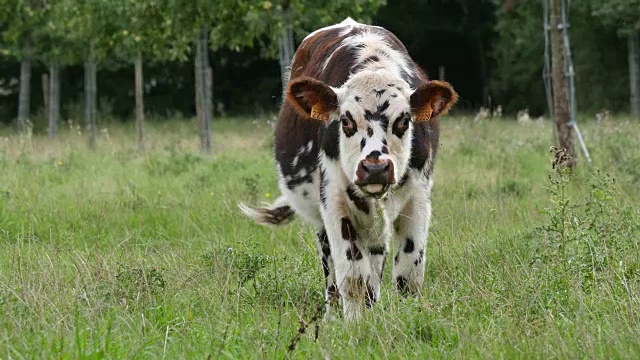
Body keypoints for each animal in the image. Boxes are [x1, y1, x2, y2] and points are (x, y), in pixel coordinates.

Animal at [239, 17, 456, 320]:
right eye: (346, 121)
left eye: (403, 120)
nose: (375, 168)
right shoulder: (334, 201)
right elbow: (352, 278)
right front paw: (355, 324)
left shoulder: (418, 199)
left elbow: (409, 276)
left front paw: (409, 317)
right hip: (322, 221)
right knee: (332, 268)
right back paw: (332, 314)